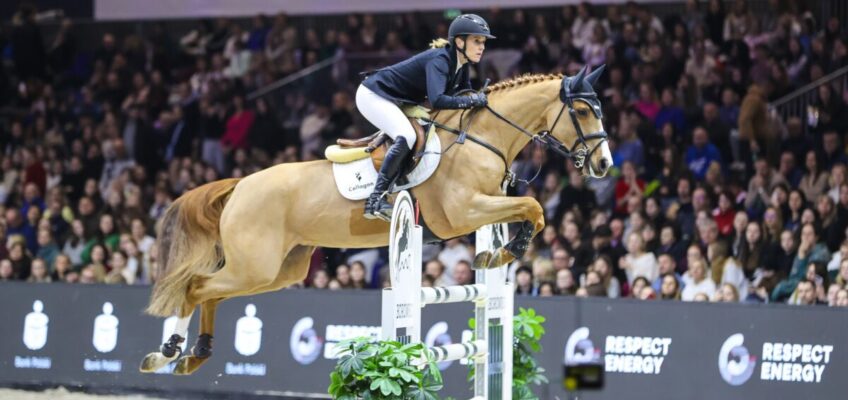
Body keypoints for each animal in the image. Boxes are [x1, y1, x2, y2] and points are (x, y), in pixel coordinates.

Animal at [142, 65, 612, 376]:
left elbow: (531, 209)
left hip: (276, 270)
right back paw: (167, 351)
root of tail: (240, 184)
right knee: (196, 287)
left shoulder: (485, 205)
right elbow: (533, 206)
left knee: (213, 294)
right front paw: (503, 254)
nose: (604, 165)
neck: (481, 138)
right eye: (583, 112)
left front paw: (497, 254)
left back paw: (194, 354)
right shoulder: (464, 212)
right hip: (255, 265)